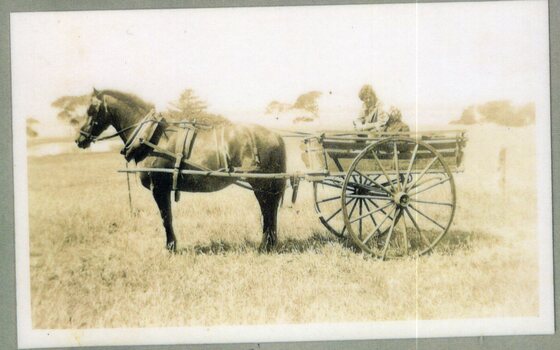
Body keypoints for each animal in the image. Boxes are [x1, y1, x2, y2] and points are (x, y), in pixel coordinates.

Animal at [74, 89, 286, 253]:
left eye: (91, 110)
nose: (79, 139)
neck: (152, 138)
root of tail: (276, 135)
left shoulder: (159, 188)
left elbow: (166, 217)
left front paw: (170, 247)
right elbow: (167, 216)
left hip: (260, 183)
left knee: (267, 208)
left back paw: (265, 245)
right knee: (270, 209)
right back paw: (269, 243)